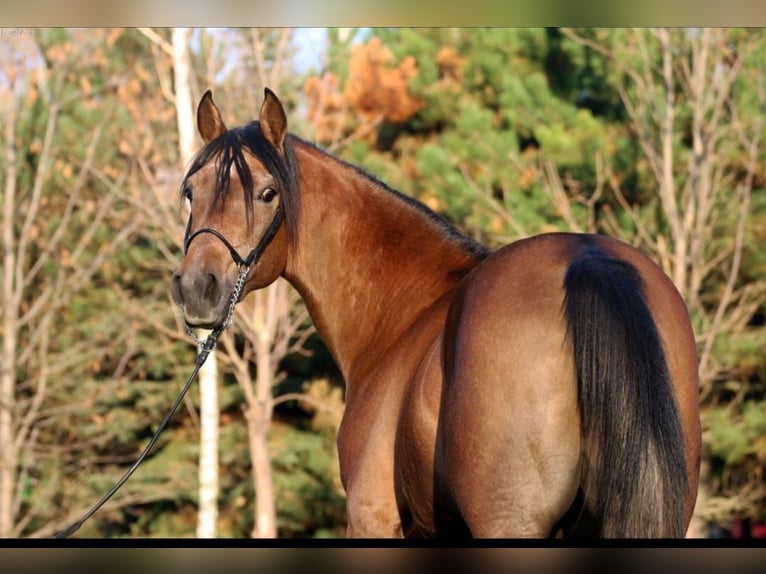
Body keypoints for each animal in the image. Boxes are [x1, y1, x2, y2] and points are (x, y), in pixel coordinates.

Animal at [172, 86, 704, 540]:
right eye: (191, 192)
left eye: (267, 193)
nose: (197, 288)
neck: (401, 315)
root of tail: (587, 258)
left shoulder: (371, 518)